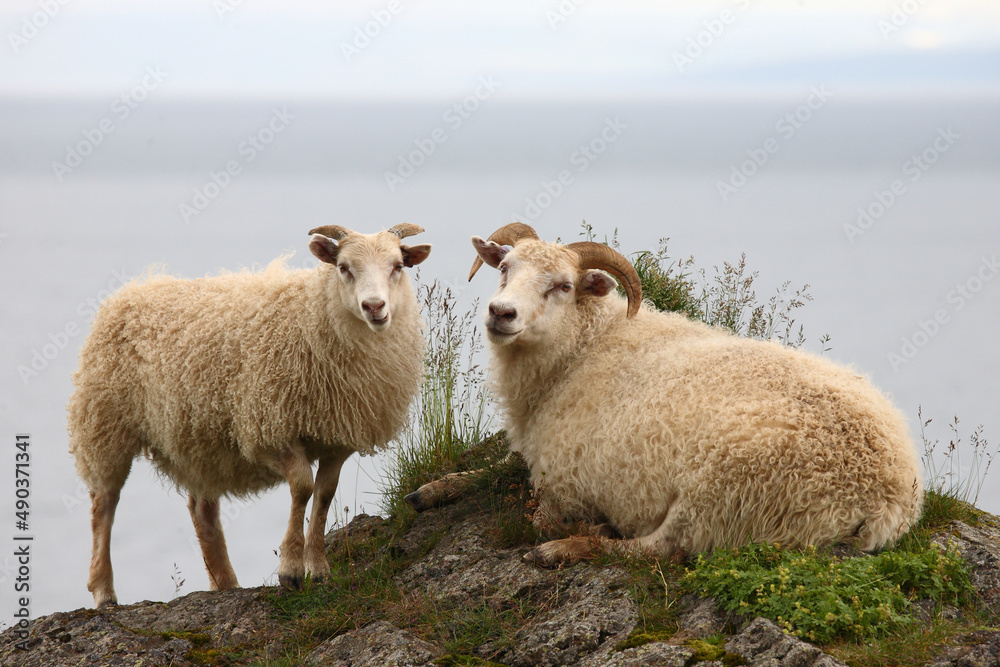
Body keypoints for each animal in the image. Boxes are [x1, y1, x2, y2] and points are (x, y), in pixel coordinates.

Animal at [68, 224, 431, 607]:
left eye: (397, 266)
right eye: (344, 267)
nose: (374, 307)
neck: (314, 311)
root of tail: (132, 290)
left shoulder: (338, 438)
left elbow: (324, 495)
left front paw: (319, 569)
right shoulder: (270, 429)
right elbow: (302, 488)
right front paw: (291, 570)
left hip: (200, 438)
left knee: (202, 511)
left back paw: (226, 583)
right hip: (105, 423)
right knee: (104, 506)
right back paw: (104, 591)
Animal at [435, 222, 923, 566]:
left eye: (563, 286)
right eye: (504, 269)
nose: (501, 313)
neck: (581, 351)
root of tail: (889, 496)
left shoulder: (563, 485)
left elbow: (535, 516)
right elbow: (494, 467)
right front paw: (439, 487)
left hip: (726, 492)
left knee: (659, 549)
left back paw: (570, 547)